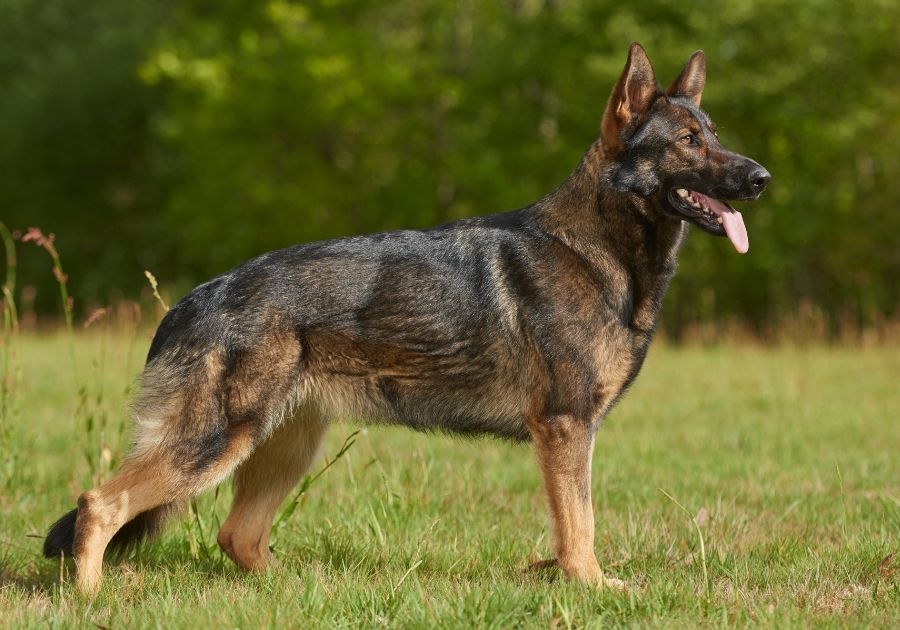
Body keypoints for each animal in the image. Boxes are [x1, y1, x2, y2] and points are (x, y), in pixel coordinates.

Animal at [44, 42, 768, 596]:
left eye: (716, 136)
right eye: (688, 142)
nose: (762, 177)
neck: (599, 249)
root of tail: (190, 300)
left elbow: (573, 527)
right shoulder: (565, 428)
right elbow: (579, 526)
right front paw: (590, 587)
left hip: (284, 446)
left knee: (237, 535)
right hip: (215, 443)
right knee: (98, 504)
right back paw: (90, 596)